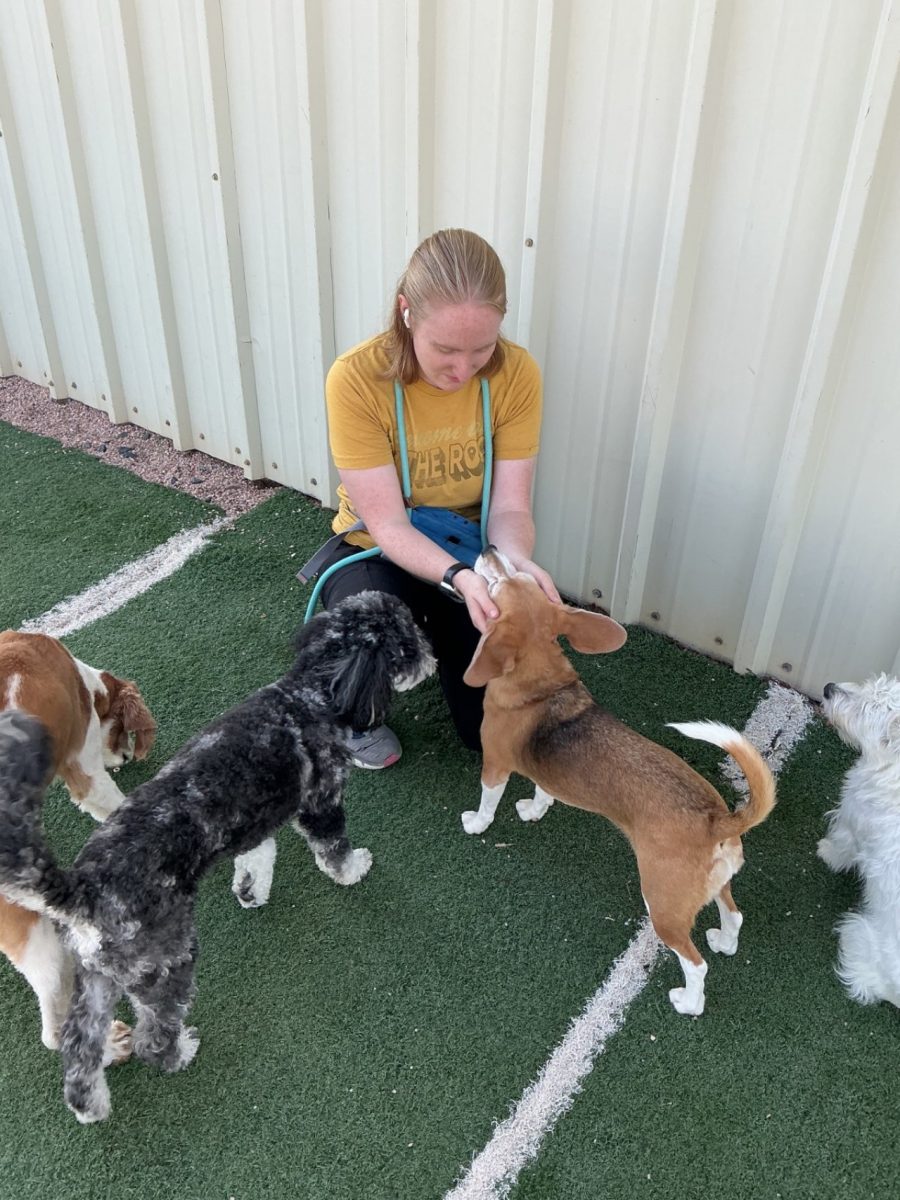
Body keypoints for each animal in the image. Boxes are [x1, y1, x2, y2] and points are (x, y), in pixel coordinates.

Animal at [459, 548, 776, 1016]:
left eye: (501, 582)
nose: (490, 551)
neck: (539, 679)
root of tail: (716, 819)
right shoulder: (542, 774)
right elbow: (543, 791)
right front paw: (534, 810)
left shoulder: (496, 764)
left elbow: (488, 800)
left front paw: (477, 824)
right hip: (716, 884)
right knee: (733, 915)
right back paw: (724, 940)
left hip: (662, 906)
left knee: (695, 963)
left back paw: (688, 1001)